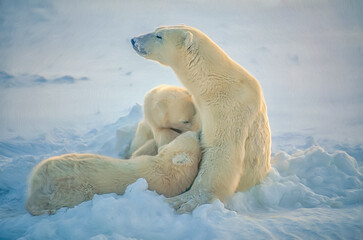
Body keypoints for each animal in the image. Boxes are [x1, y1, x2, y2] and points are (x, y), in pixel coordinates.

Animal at [26, 131, 202, 216]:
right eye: (188, 134)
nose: (198, 131)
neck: (166, 171)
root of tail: (39, 177)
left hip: (71, 185)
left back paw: (46, 210)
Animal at [132, 25, 272, 213]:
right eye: (157, 29)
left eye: (159, 36)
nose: (134, 40)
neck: (215, 83)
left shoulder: (228, 108)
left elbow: (221, 151)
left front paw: (184, 201)